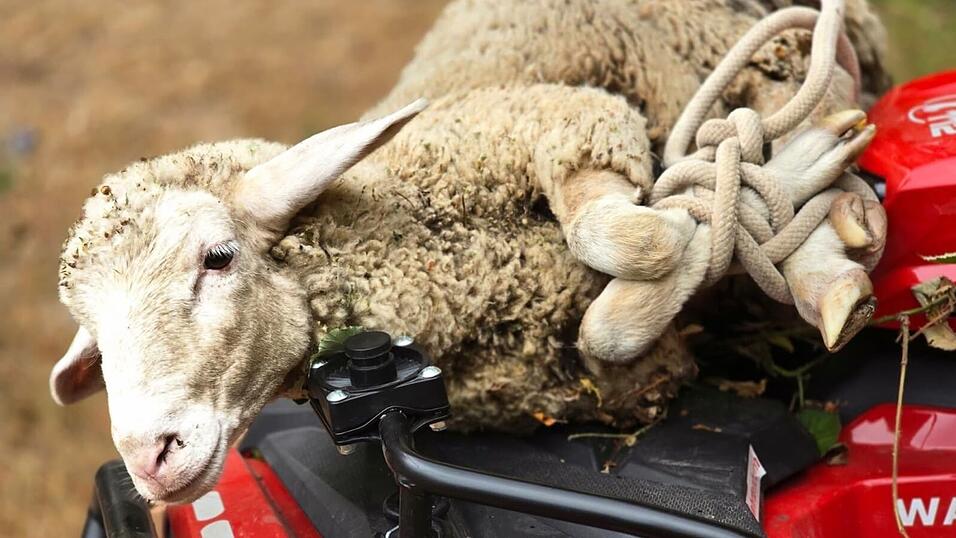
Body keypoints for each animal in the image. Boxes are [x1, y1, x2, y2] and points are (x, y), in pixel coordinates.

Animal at [50, 0, 888, 503]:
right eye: (95, 333)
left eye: (217, 258)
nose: (148, 458)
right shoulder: (616, 376)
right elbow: (612, 329)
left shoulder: (567, 120)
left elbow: (632, 237)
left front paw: (749, 188)